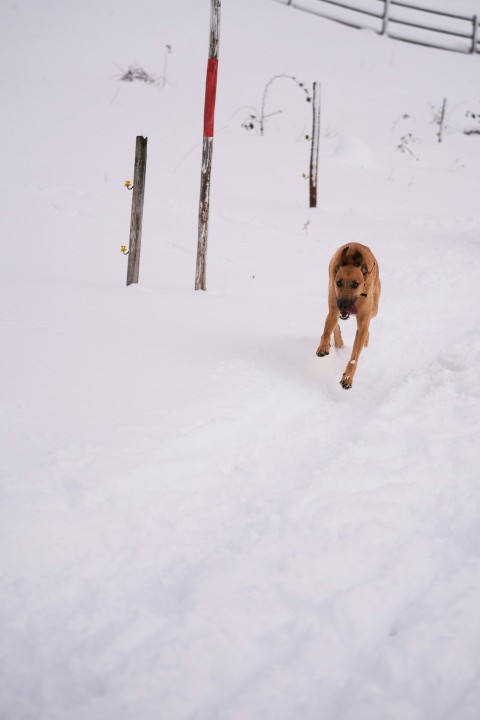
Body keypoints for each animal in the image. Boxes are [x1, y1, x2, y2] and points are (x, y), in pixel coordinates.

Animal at [316, 242, 380, 388]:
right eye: (339, 282)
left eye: (355, 284)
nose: (344, 306)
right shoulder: (334, 302)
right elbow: (327, 330)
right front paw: (324, 346)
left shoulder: (363, 320)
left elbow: (355, 355)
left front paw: (348, 378)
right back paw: (337, 341)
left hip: (374, 308)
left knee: (369, 322)